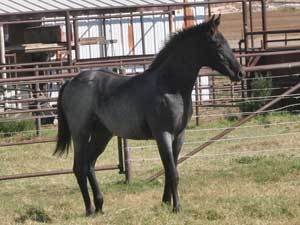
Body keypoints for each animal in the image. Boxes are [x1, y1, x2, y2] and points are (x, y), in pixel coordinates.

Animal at [55, 14, 245, 215]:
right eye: (217, 44)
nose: (240, 73)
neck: (170, 86)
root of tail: (71, 82)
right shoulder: (163, 135)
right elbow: (173, 172)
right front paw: (177, 207)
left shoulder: (179, 136)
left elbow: (170, 170)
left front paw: (166, 202)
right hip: (80, 134)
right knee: (79, 167)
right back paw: (90, 209)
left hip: (102, 134)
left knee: (90, 164)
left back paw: (100, 205)